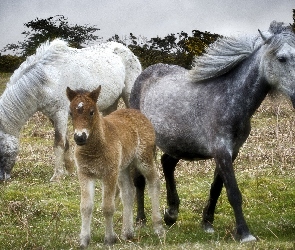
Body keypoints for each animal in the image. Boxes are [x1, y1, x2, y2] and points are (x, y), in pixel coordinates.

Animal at [0, 39, 142, 181]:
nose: (2, 178)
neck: (48, 79)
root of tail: (127, 50)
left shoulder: (60, 114)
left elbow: (58, 143)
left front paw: (57, 176)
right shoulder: (53, 117)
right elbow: (66, 142)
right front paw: (69, 170)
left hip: (128, 94)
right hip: (111, 104)